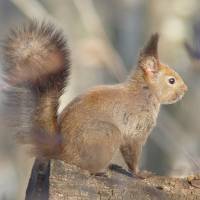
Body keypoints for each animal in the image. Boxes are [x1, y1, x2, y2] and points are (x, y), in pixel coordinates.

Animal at [2, 20, 188, 177]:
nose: (185, 89)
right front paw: (140, 174)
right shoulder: (136, 129)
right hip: (107, 134)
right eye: (171, 80)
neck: (145, 92)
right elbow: (132, 154)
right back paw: (100, 171)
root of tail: (61, 150)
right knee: (85, 166)